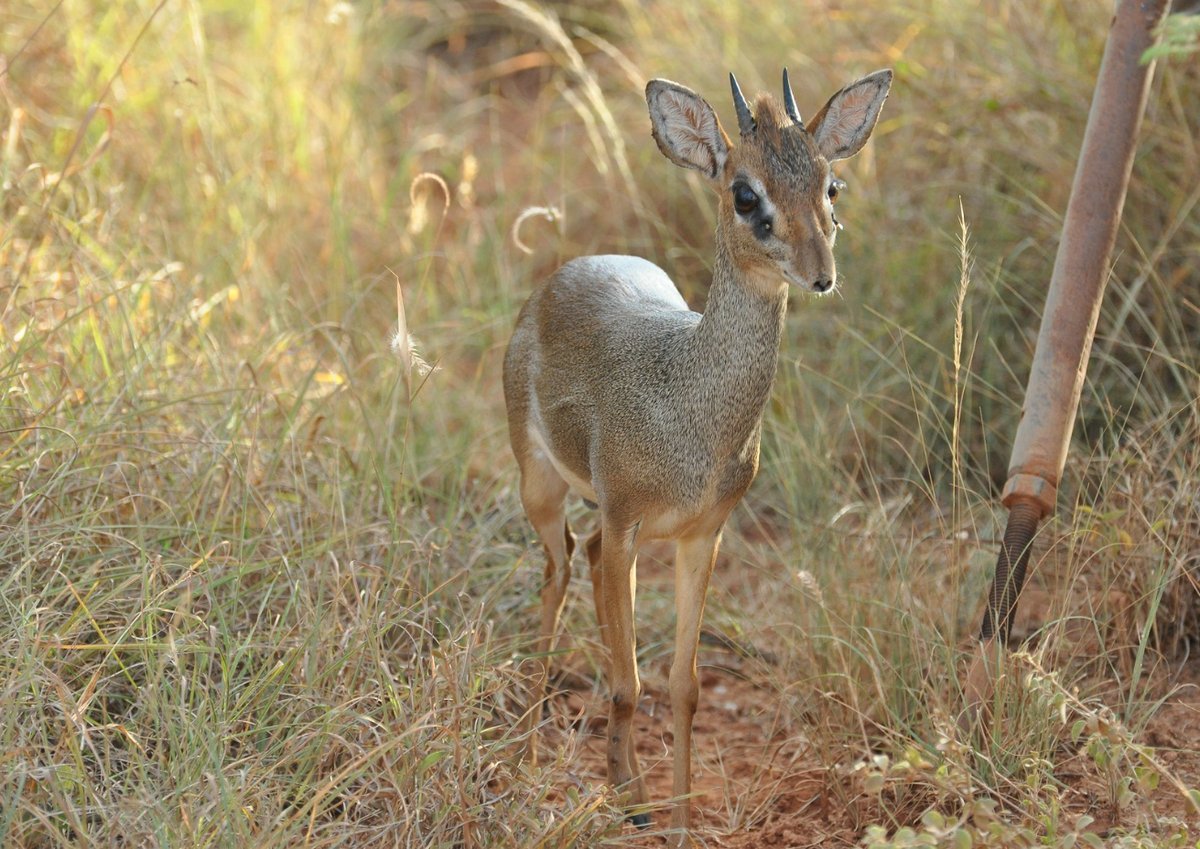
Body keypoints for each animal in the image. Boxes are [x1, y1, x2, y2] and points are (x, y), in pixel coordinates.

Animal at [499, 68, 892, 844]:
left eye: (832, 185)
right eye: (745, 193)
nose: (821, 274)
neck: (690, 407)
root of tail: (563, 274)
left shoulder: (700, 535)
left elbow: (682, 686)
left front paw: (675, 812)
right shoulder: (626, 525)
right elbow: (628, 684)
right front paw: (623, 796)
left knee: (582, 561)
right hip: (541, 485)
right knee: (558, 570)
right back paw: (530, 751)